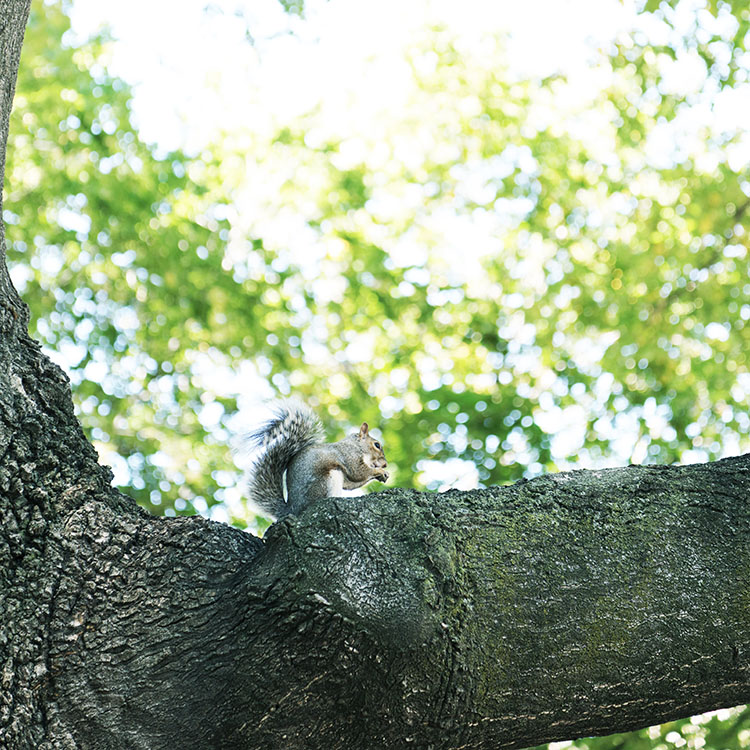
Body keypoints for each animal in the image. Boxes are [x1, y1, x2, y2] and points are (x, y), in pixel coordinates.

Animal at [247, 402, 390, 520]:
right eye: (377, 445)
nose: (385, 464)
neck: (356, 445)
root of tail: (293, 509)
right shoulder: (349, 456)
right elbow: (358, 472)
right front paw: (380, 471)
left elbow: (353, 482)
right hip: (325, 481)